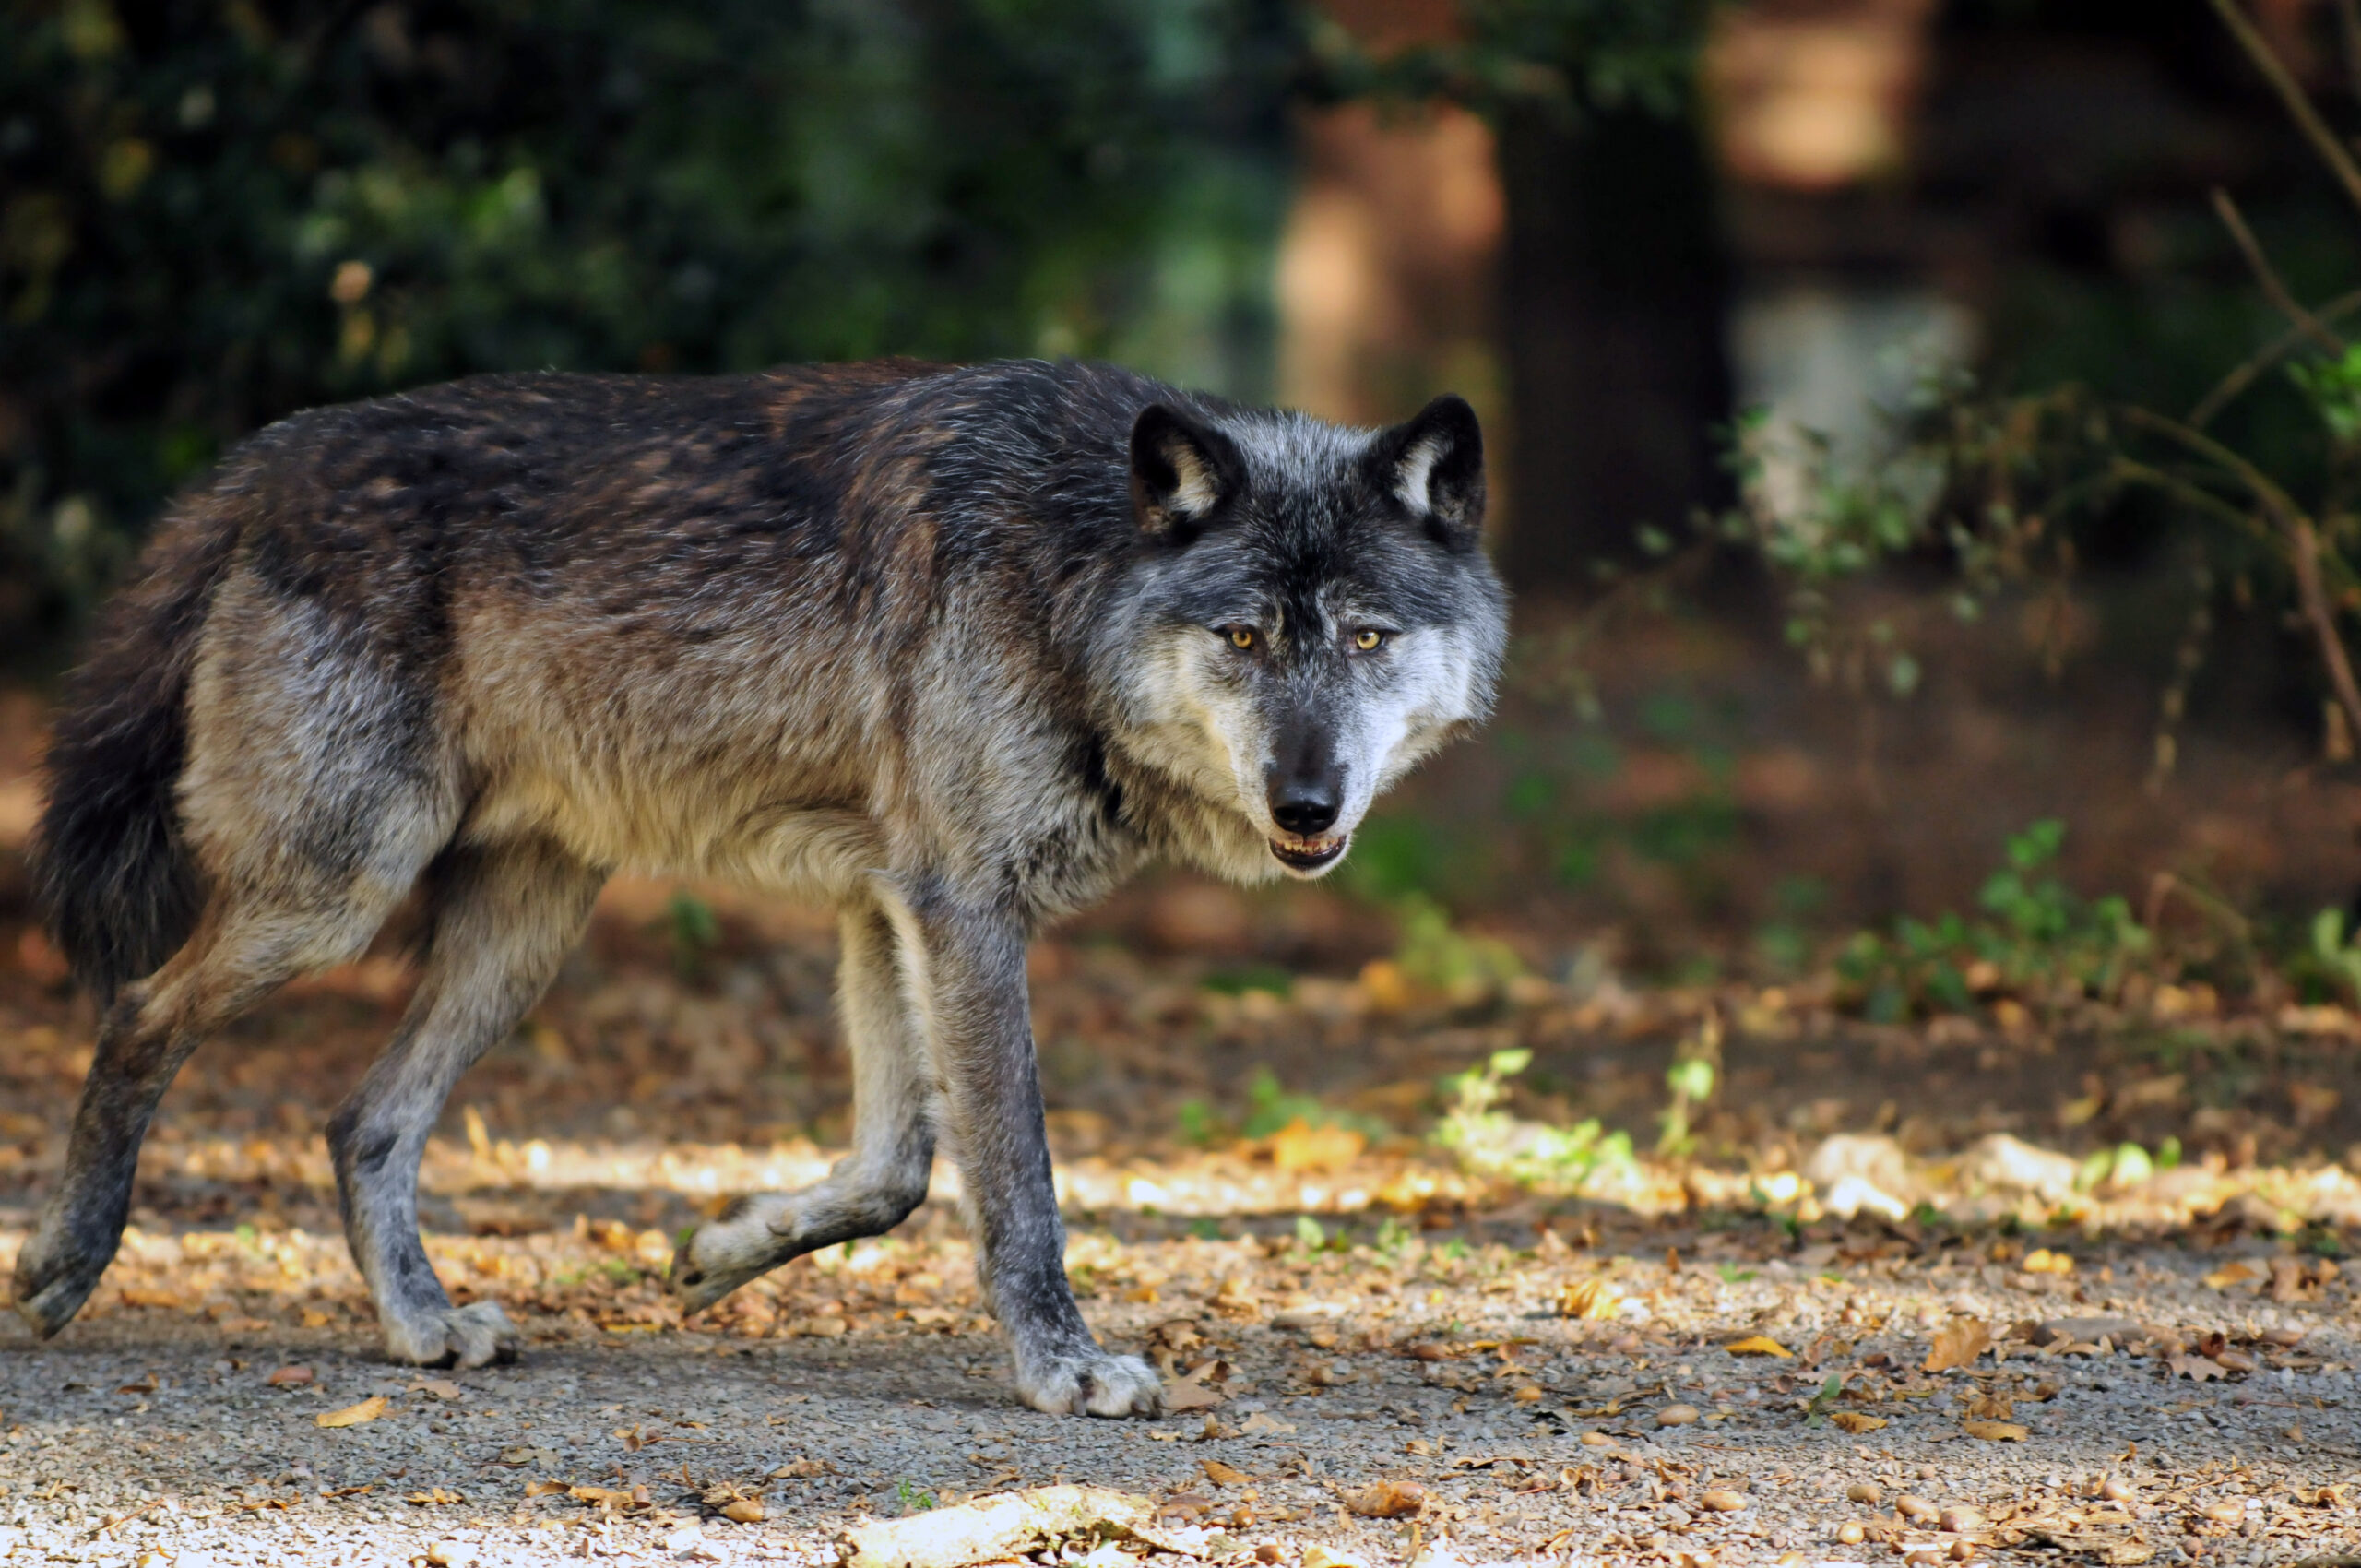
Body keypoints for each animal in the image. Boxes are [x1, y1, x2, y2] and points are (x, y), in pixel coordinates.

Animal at [9, 354, 1501, 1407]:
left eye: (1367, 638)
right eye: (1243, 637)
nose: (1307, 804)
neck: (1072, 568)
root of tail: (265, 456)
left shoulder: (891, 902)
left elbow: (897, 1171)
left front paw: (718, 1252)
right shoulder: (962, 907)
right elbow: (1014, 1176)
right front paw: (1063, 1369)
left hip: (521, 935)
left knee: (362, 1120)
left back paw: (423, 1326)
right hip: (339, 892)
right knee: (138, 1014)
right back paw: (60, 1270)